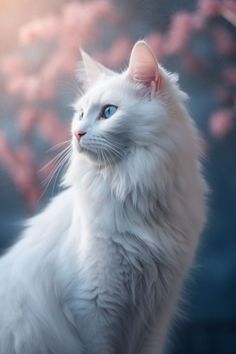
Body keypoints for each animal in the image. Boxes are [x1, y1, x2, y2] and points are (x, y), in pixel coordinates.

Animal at [0, 42, 206, 354]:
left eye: (109, 112)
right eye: (81, 114)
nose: (77, 133)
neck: (132, 189)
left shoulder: (156, 313)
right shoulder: (95, 306)